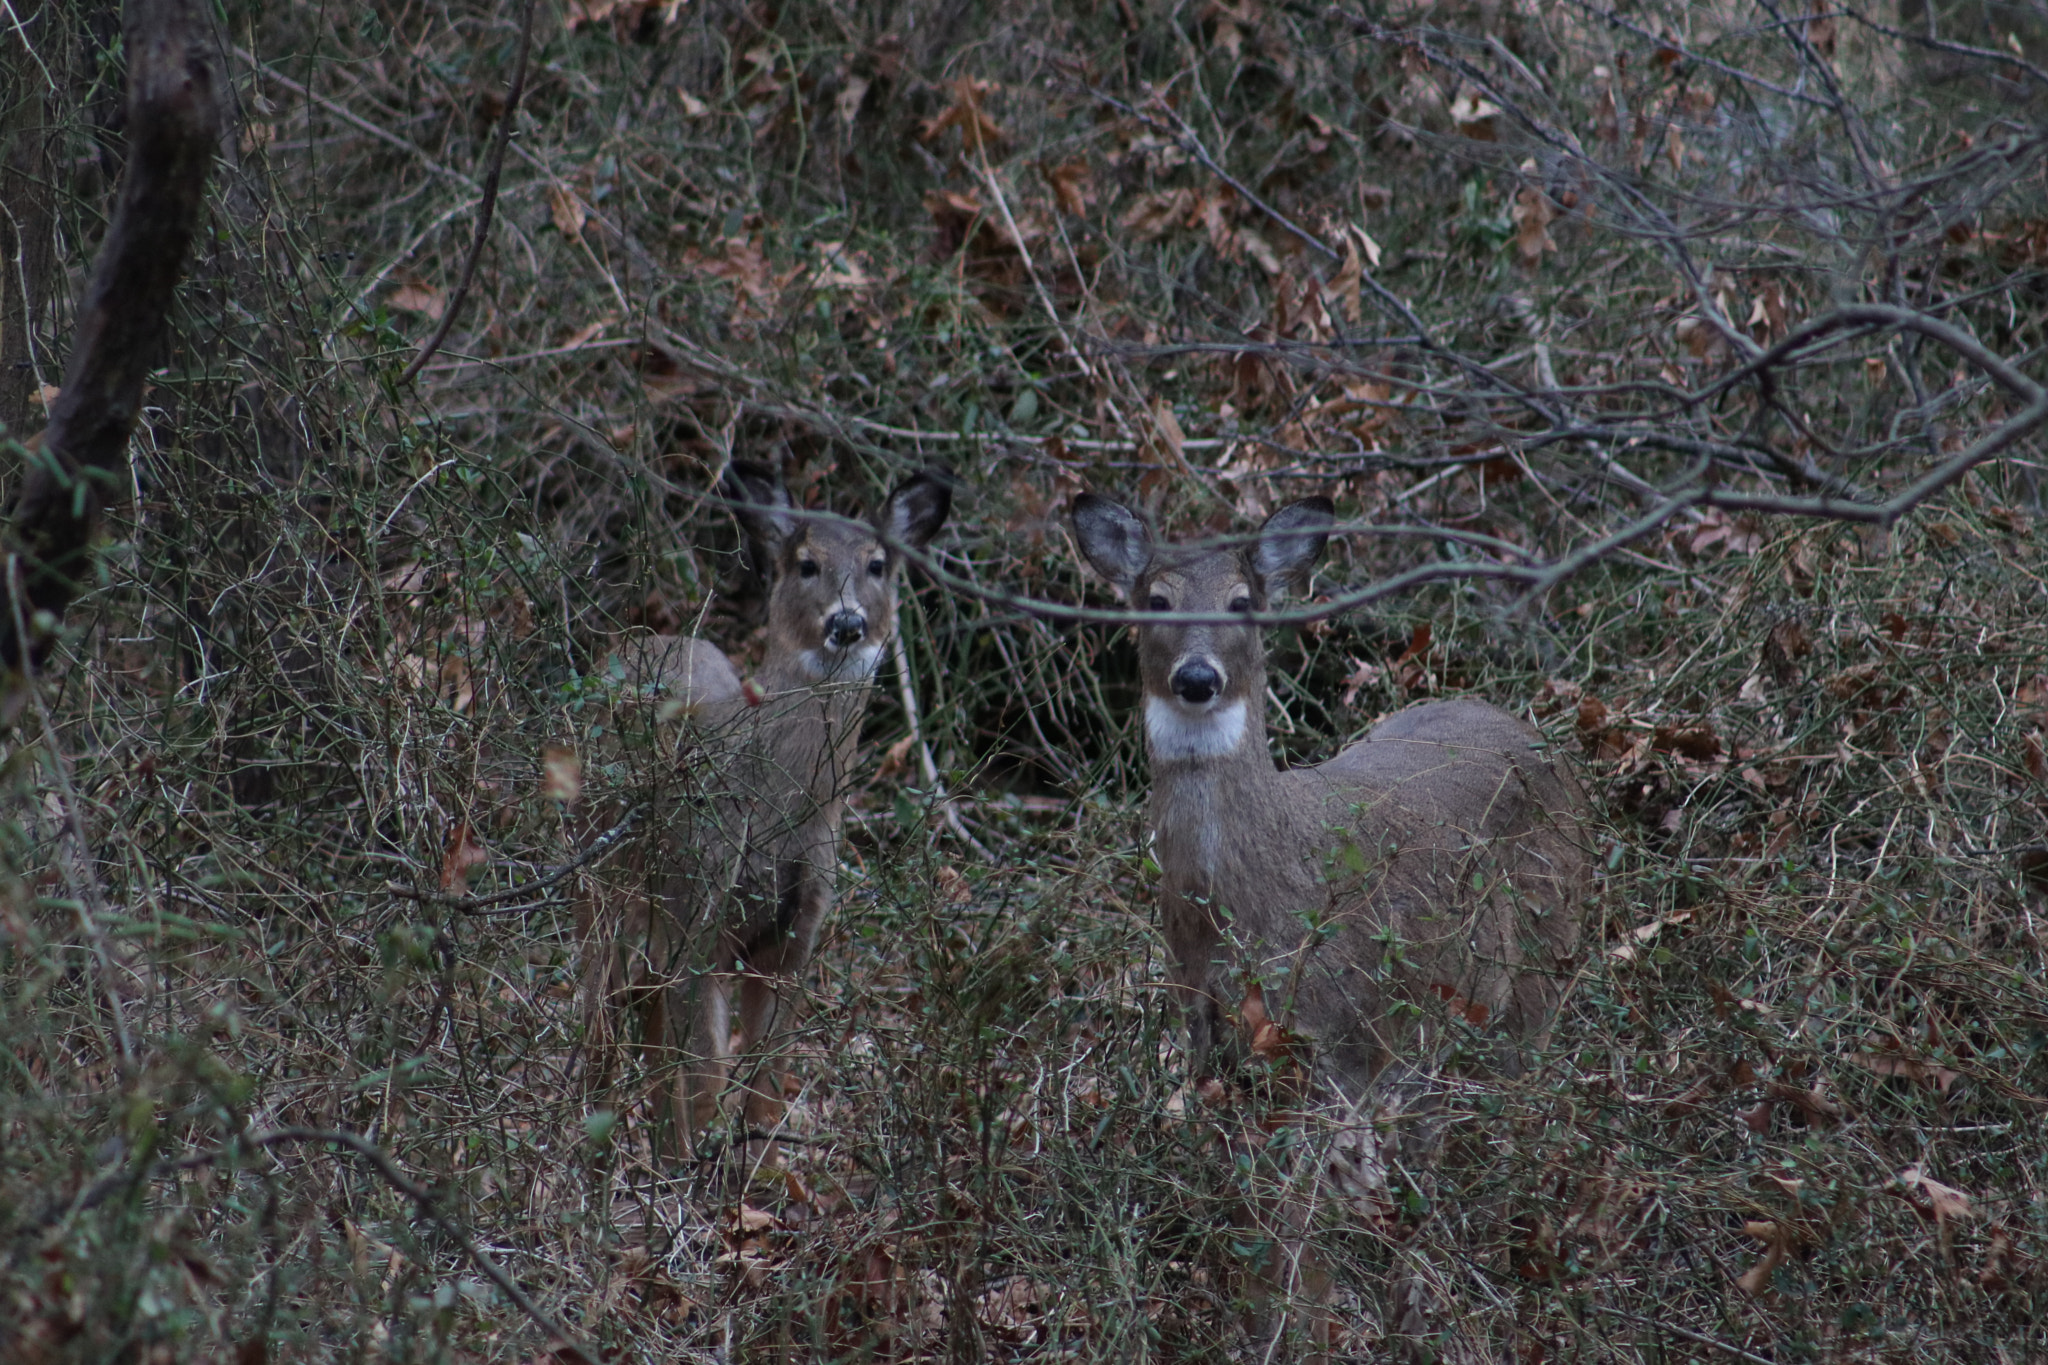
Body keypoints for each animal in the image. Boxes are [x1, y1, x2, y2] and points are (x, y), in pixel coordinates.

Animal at [582, 460, 953, 1161]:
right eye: (806, 563)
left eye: (878, 564)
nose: (847, 622)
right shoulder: (696, 912)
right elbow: (705, 1081)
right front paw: (696, 1169)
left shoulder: (797, 934)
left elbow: (764, 1087)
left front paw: (759, 1167)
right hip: (596, 887)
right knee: (600, 1019)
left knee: (646, 1030)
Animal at [1072, 491, 1591, 1358]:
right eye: (1157, 599)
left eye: (1242, 601)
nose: (1198, 677)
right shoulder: (1212, 1052)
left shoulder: (1329, 1055)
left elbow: (1294, 1242)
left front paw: (1294, 1336)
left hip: (1535, 991)